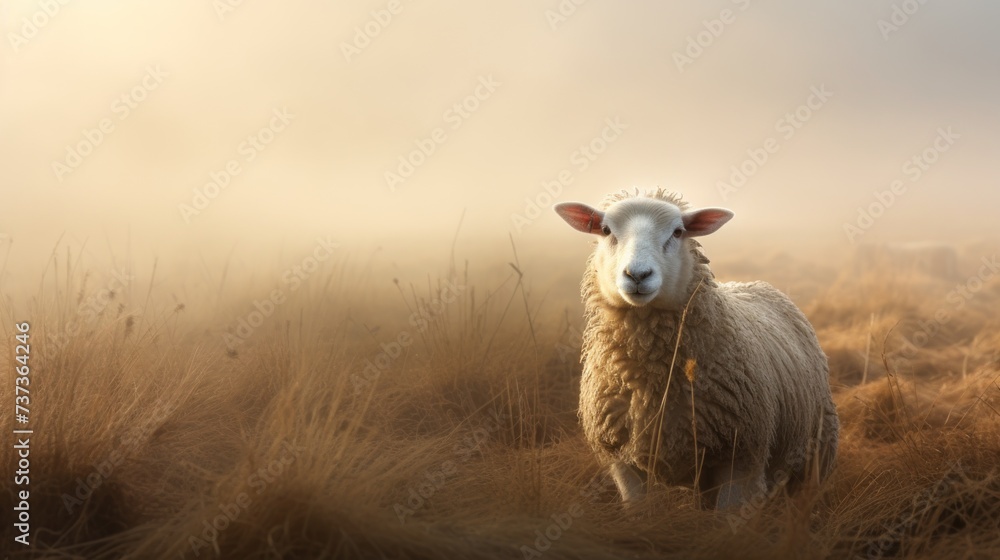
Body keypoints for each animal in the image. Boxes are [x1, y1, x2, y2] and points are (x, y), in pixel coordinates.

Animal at [554, 188, 839, 509]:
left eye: (678, 232)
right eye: (605, 230)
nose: (638, 275)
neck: (652, 384)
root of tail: (754, 284)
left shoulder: (741, 458)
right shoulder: (622, 462)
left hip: (816, 448)